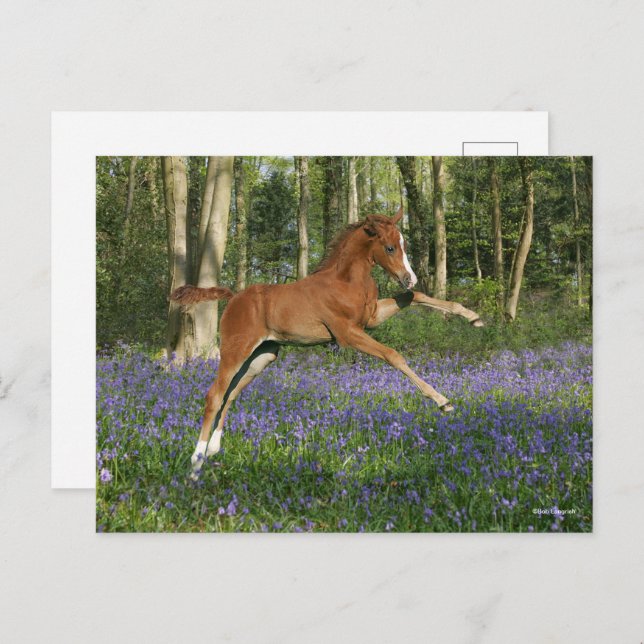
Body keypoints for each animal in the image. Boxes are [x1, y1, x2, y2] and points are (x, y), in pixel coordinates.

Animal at [171, 207, 483, 480]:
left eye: (403, 244)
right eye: (390, 248)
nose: (409, 278)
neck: (346, 281)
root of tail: (234, 296)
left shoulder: (371, 318)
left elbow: (415, 298)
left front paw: (473, 317)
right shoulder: (347, 333)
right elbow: (393, 355)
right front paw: (443, 402)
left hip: (261, 358)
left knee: (231, 395)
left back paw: (213, 450)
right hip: (235, 351)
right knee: (214, 395)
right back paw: (195, 464)